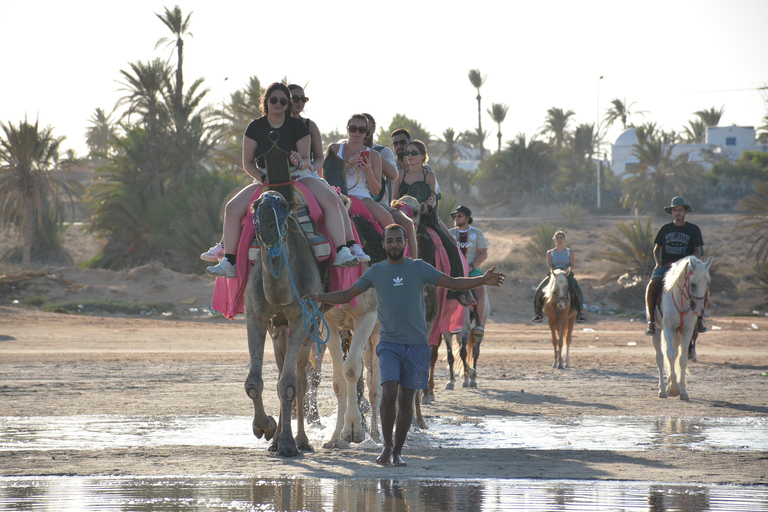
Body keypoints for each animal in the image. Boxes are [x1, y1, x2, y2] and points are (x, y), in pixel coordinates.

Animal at [652, 256, 712, 400]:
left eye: (707, 283)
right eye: (693, 284)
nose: (698, 311)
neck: (682, 301)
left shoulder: (687, 331)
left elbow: (682, 359)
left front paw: (682, 390)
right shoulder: (668, 328)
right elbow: (670, 355)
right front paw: (674, 388)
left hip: (677, 335)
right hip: (657, 331)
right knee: (660, 357)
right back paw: (663, 390)